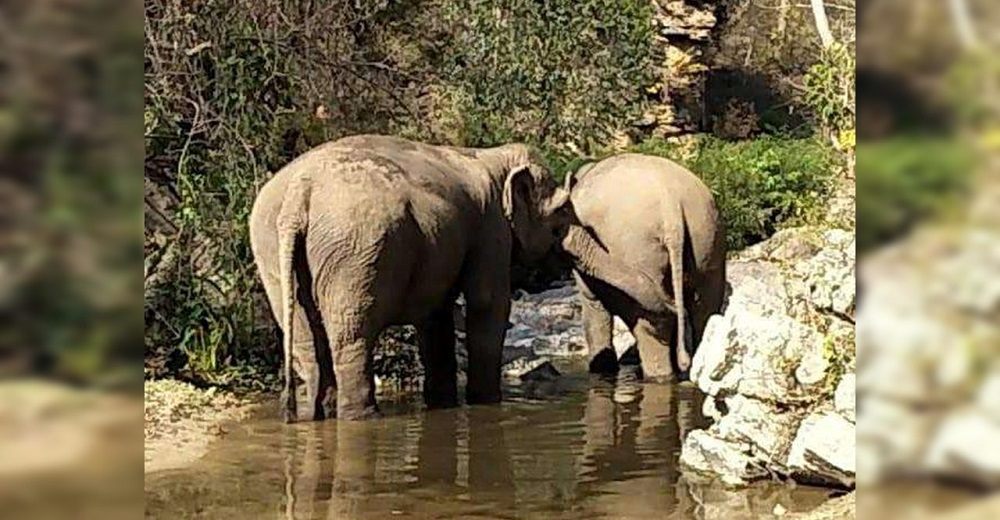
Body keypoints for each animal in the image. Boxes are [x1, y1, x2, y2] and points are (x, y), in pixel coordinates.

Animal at [250, 135, 656, 422]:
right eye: (561, 213)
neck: (489, 155)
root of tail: (299, 195)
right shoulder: (490, 227)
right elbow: (489, 303)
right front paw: (486, 402)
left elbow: (436, 317)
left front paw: (442, 402)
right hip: (355, 253)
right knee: (353, 336)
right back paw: (362, 417)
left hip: (274, 253)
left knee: (305, 341)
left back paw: (315, 415)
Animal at [564, 152, 728, 380]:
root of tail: (670, 204)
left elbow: (593, 304)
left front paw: (600, 371)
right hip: (707, 238)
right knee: (704, 310)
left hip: (636, 250)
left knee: (649, 321)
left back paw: (659, 376)